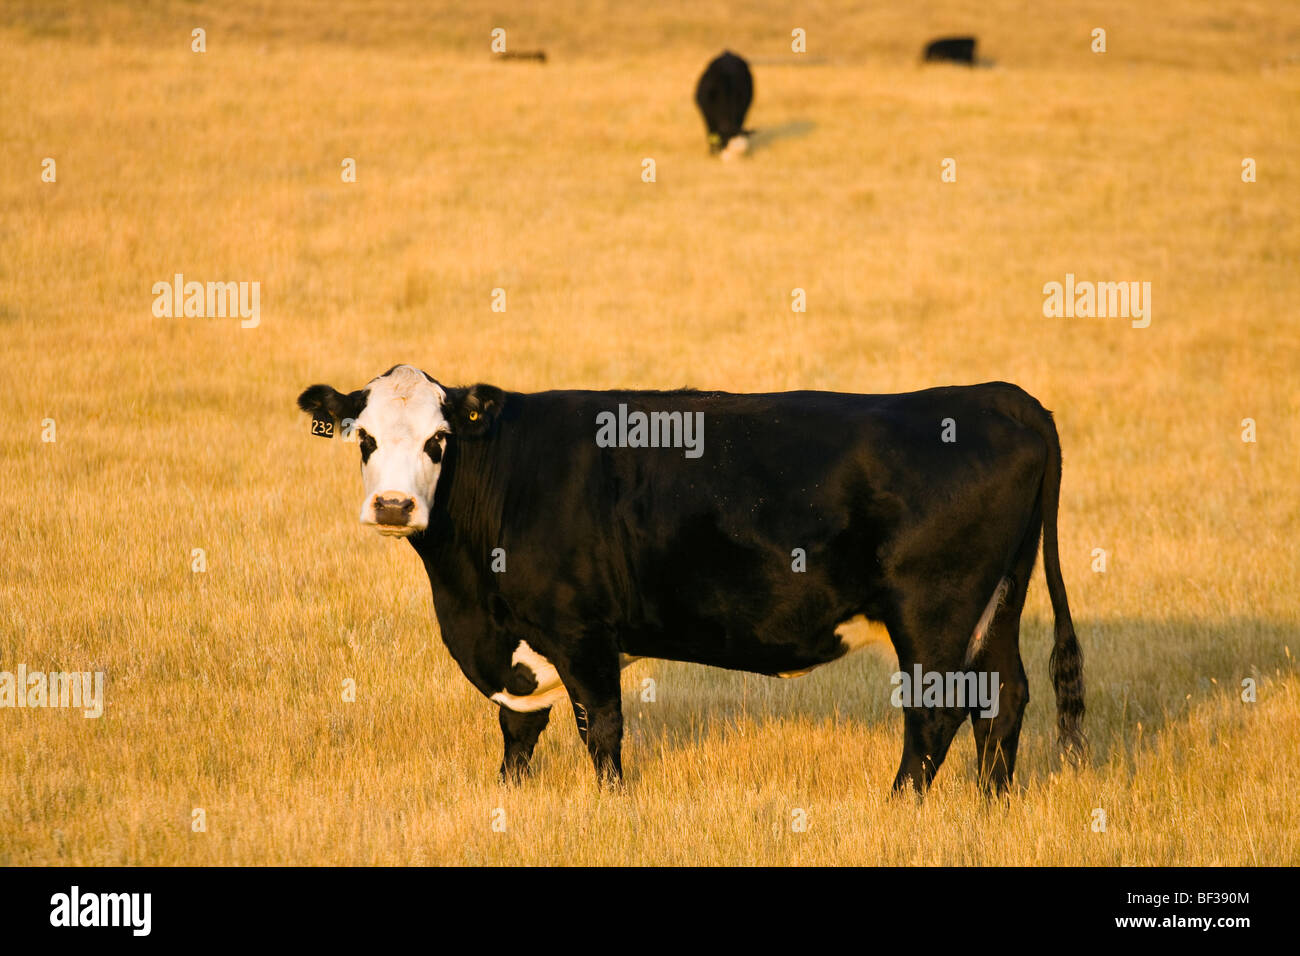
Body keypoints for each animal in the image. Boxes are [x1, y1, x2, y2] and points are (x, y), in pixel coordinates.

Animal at [297, 366, 1086, 790]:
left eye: (439, 439)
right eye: (364, 439)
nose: (393, 506)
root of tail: (1000, 396)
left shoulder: (580, 632)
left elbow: (601, 729)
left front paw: (611, 808)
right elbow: (518, 727)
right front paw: (509, 797)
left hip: (932, 609)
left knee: (935, 714)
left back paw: (898, 808)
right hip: (996, 603)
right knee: (1003, 700)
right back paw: (989, 806)